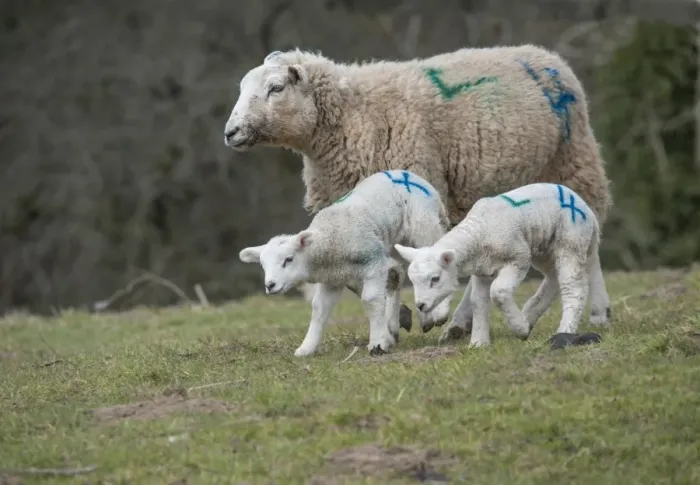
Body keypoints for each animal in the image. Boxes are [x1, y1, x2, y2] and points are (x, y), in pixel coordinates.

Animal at [238, 169, 451, 356]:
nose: (270, 285)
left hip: (423, 225)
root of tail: (410, 175)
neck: (330, 241)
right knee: (397, 275)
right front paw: (306, 348)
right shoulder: (332, 280)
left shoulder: (373, 262)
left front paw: (377, 344)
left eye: (288, 259)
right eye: (263, 265)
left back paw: (439, 313)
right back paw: (395, 326)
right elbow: (319, 308)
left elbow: (370, 299)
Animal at [393, 182, 611, 348]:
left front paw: (520, 329)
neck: (478, 232)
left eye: (435, 279)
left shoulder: (518, 257)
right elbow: (477, 301)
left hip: (570, 241)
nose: (421, 305)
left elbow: (498, 291)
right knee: (553, 279)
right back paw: (529, 317)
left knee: (573, 287)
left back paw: (563, 330)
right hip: (545, 248)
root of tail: (587, 210)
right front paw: (478, 343)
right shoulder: (482, 270)